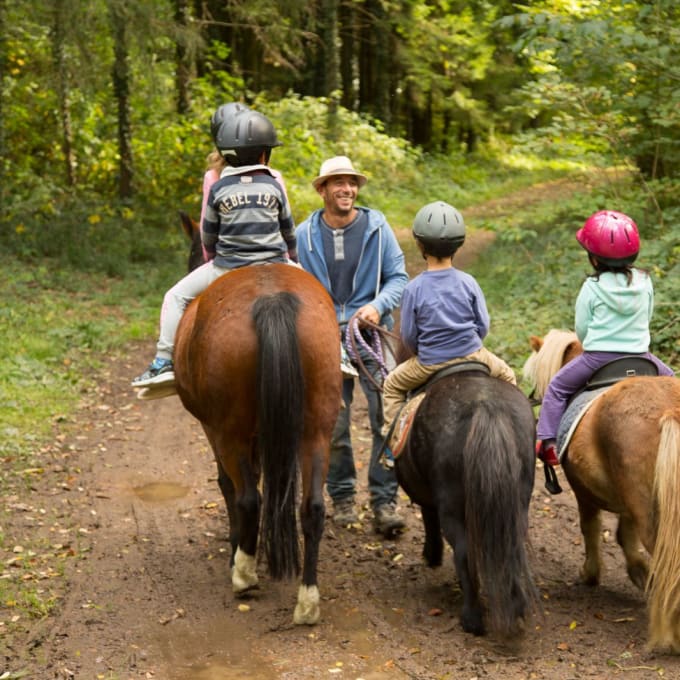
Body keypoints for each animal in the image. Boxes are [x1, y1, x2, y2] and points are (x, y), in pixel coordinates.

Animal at [170, 215, 340, 624]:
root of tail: (271, 299)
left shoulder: (214, 429)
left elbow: (228, 486)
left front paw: (239, 551)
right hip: (317, 427)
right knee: (312, 506)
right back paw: (307, 601)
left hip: (229, 429)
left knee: (248, 496)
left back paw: (244, 575)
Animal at [524, 330, 680, 652]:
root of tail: (669, 409)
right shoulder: (627, 504)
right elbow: (624, 535)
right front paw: (640, 573)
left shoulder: (582, 491)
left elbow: (590, 528)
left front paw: (591, 573)